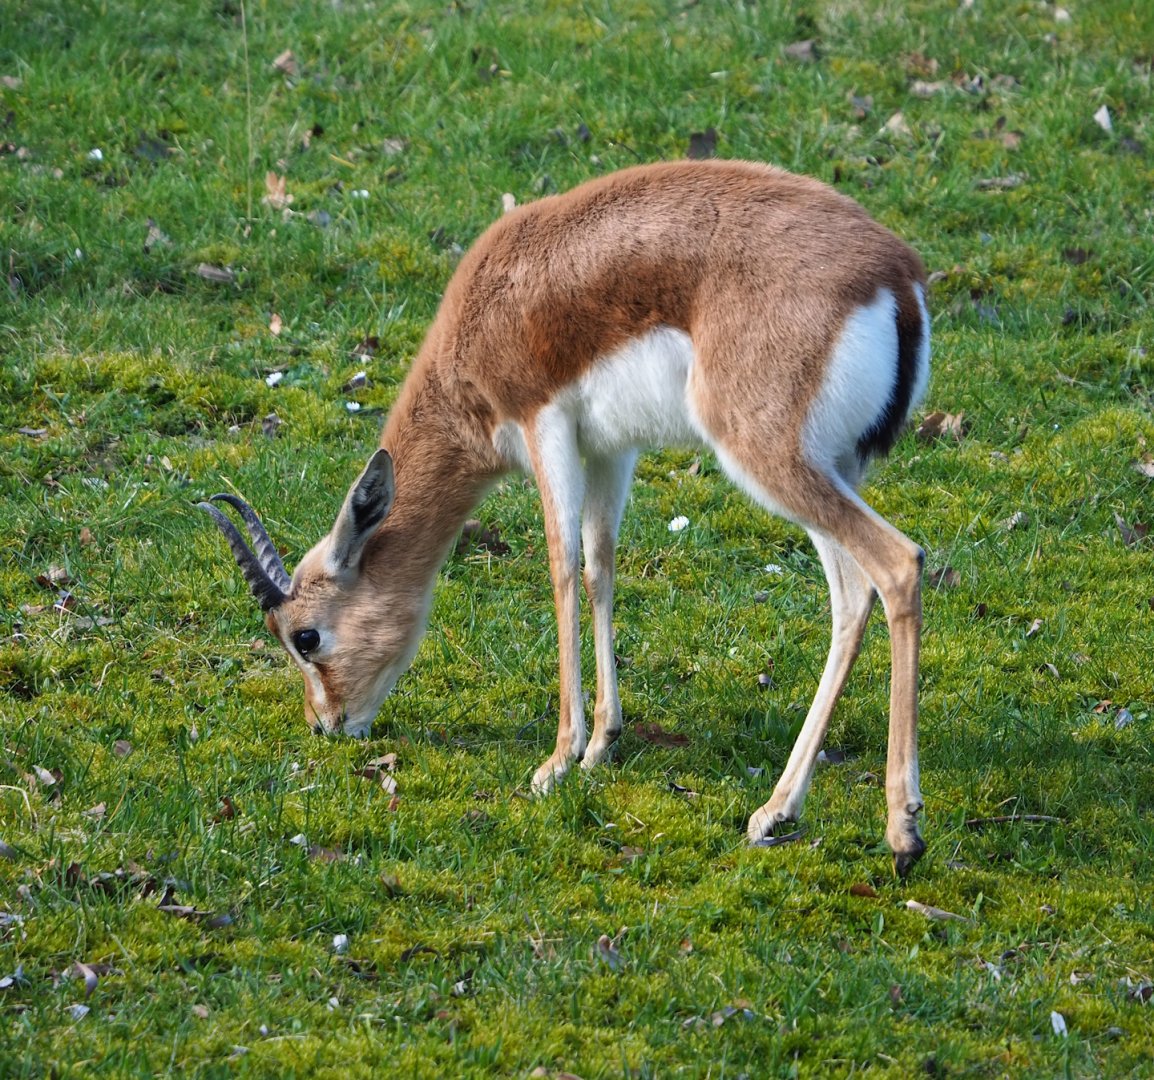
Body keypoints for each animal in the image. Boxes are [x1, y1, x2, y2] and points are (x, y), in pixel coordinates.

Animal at [201, 159, 931, 875]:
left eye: (305, 637)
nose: (325, 725)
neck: (490, 307)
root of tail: (896, 275)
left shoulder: (543, 423)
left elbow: (560, 569)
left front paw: (556, 761)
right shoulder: (611, 449)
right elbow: (601, 567)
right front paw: (602, 743)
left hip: (770, 456)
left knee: (898, 564)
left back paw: (902, 831)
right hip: (835, 467)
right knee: (851, 594)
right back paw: (777, 811)